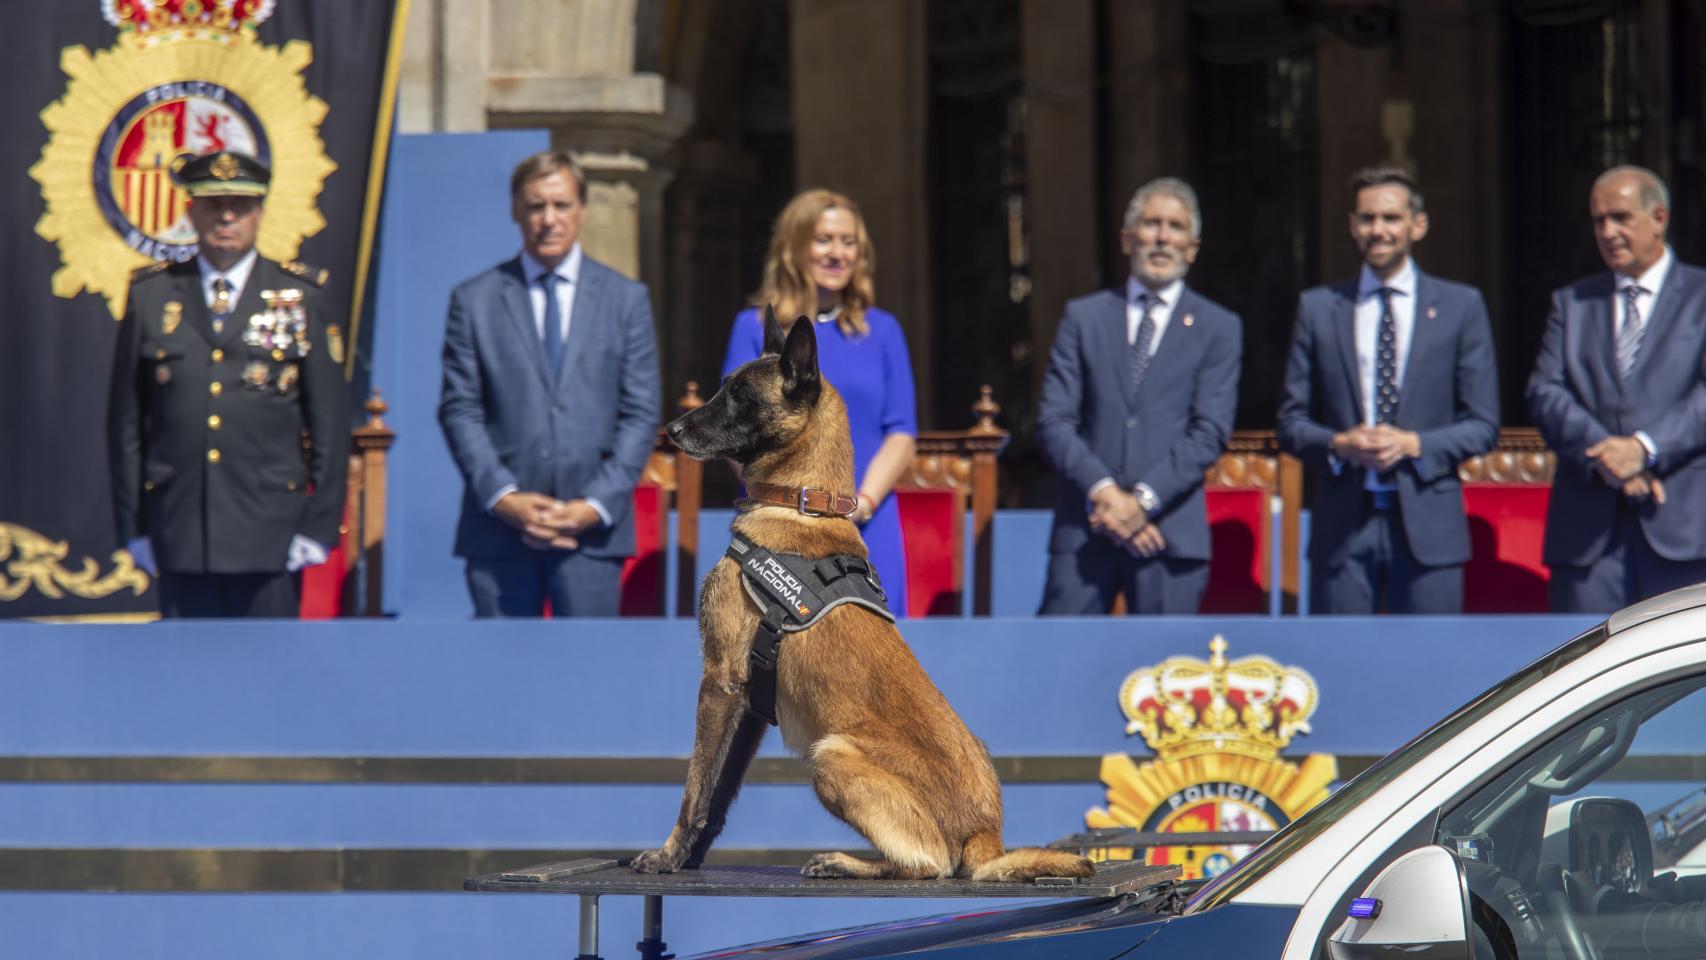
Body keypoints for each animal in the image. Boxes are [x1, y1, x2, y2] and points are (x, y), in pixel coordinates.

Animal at [634, 310, 1098, 886]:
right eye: (724, 387)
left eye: (740, 395)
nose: (672, 431)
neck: (803, 503)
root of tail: (985, 836)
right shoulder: (750, 703)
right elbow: (719, 794)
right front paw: (692, 858)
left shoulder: (718, 681)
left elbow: (695, 788)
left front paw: (667, 856)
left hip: (829, 754)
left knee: (930, 863)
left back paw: (845, 861)